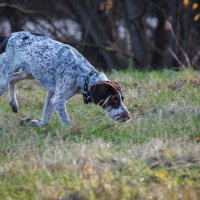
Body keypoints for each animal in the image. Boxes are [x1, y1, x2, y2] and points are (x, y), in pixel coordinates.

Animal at [0, 32, 130, 127]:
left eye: (122, 99)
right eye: (114, 100)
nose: (128, 117)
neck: (83, 76)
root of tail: (8, 36)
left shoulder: (52, 94)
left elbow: (45, 116)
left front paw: (36, 123)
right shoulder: (58, 100)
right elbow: (67, 124)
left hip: (27, 73)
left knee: (12, 79)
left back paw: (14, 105)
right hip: (4, 76)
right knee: (9, 80)